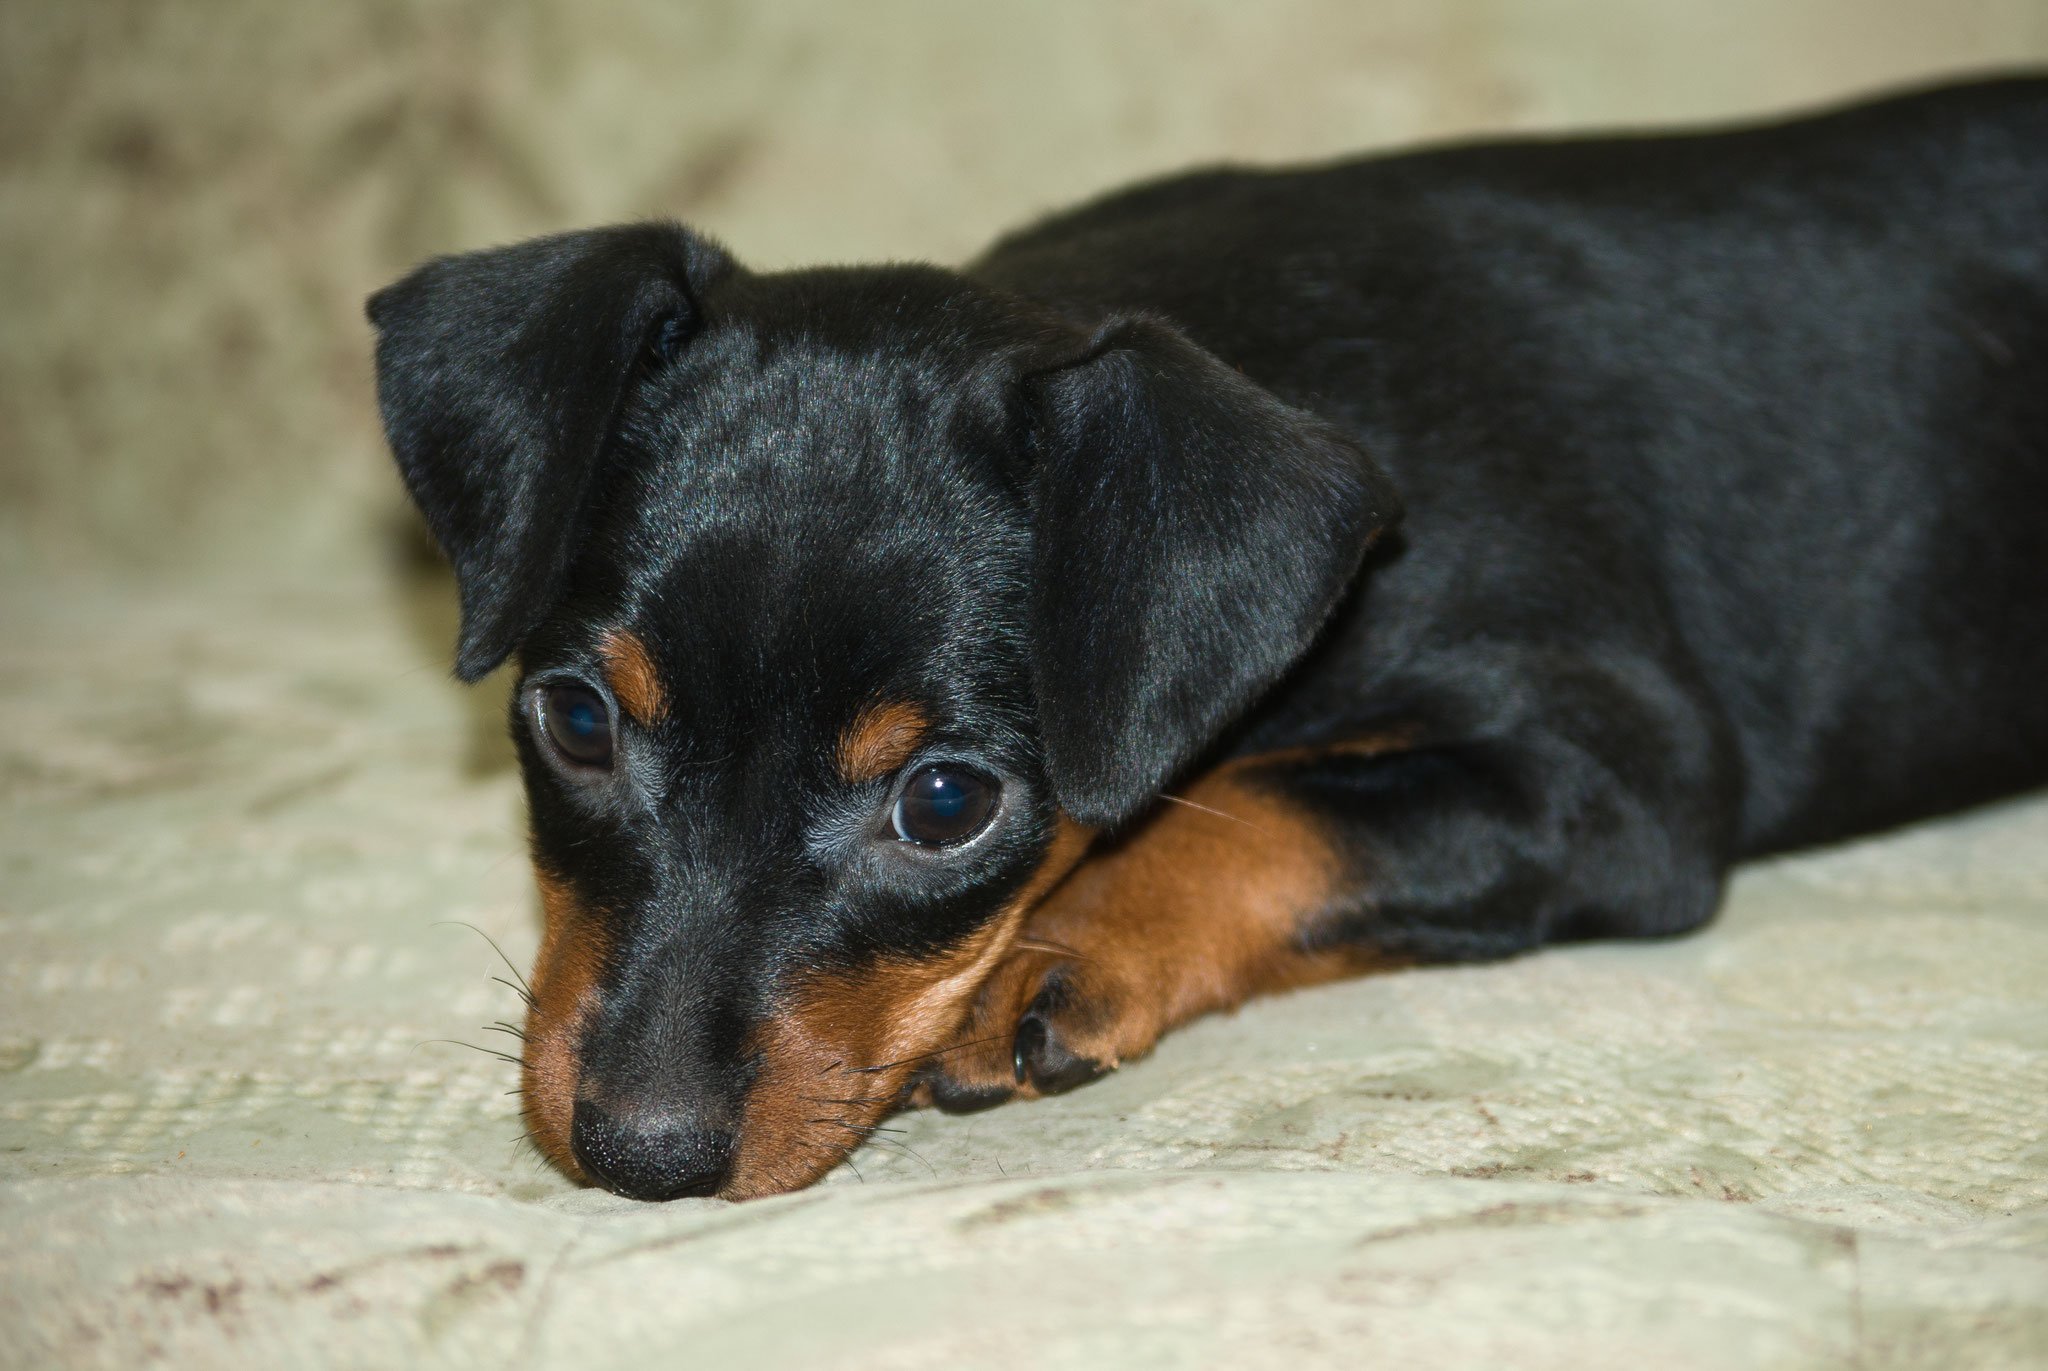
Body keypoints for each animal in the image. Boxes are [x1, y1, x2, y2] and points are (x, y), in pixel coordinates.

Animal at [372, 77, 2048, 1196]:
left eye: (946, 802)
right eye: (575, 721)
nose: (638, 1149)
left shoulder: (1628, 777)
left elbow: (1258, 800)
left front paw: (1058, 944)